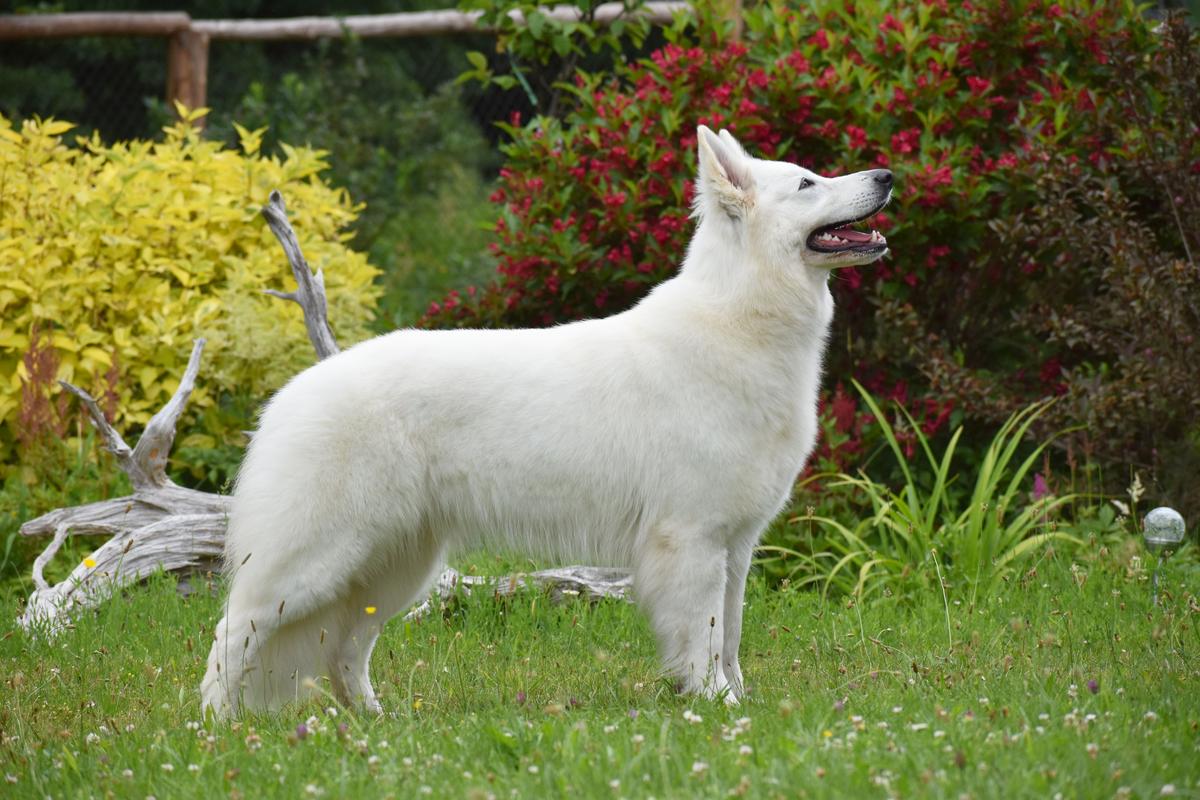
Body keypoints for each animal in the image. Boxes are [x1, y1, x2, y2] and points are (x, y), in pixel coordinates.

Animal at [199, 126, 892, 719]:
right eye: (806, 183)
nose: (887, 175)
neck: (740, 320)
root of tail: (290, 394)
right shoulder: (692, 541)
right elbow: (704, 635)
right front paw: (715, 704)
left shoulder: (736, 547)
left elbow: (733, 632)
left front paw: (736, 700)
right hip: (316, 562)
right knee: (232, 630)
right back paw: (214, 728)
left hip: (393, 568)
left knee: (345, 649)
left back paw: (376, 720)